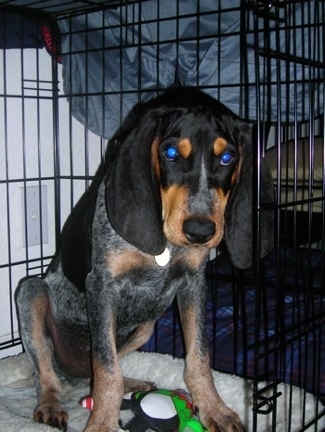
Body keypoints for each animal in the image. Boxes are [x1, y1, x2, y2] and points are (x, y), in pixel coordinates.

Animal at [15, 89, 274, 430]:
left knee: (92, 375)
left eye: (228, 158)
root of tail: (70, 373)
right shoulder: (101, 286)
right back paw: (51, 403)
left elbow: (199, 357)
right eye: (170, 152)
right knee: (49, 370)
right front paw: (102, 423)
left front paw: (214, 408)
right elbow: (107, 368)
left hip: (146, 326)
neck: (167, 248)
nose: (201, 232)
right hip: (30, 293)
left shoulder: (193, 282)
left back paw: (132, 384)